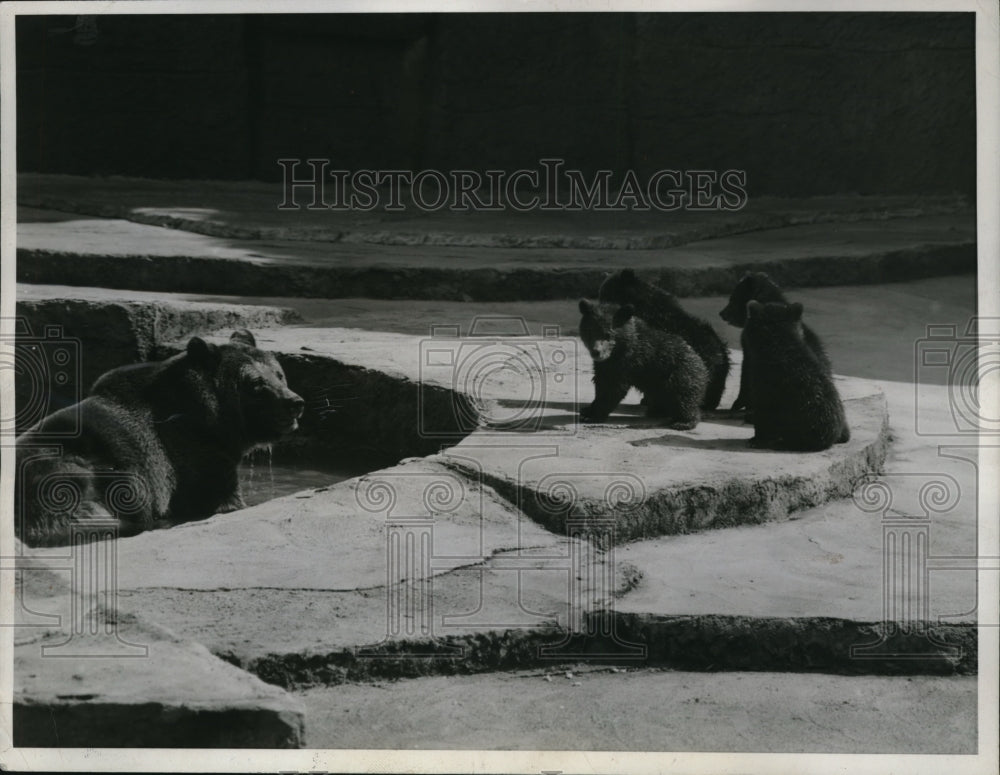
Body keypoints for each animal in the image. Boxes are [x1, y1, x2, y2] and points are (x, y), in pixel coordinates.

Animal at [15, 329, 304, 547]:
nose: (295, 403)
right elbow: (220, 497)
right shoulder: (194, 453)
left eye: (279, 375)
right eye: (256, 384)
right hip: (74, 471)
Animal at [577, 299, 708, 429]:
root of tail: (702, 365)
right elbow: (601, 382)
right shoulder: (605, 365)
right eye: (589, 331)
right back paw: (656, 411)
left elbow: (613, 387)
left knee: (683, 396)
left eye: (608, 334)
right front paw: (587, 410)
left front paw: (593, 415)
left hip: (679, 374)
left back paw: (683, 422)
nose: (596, 352)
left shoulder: (628, 361)